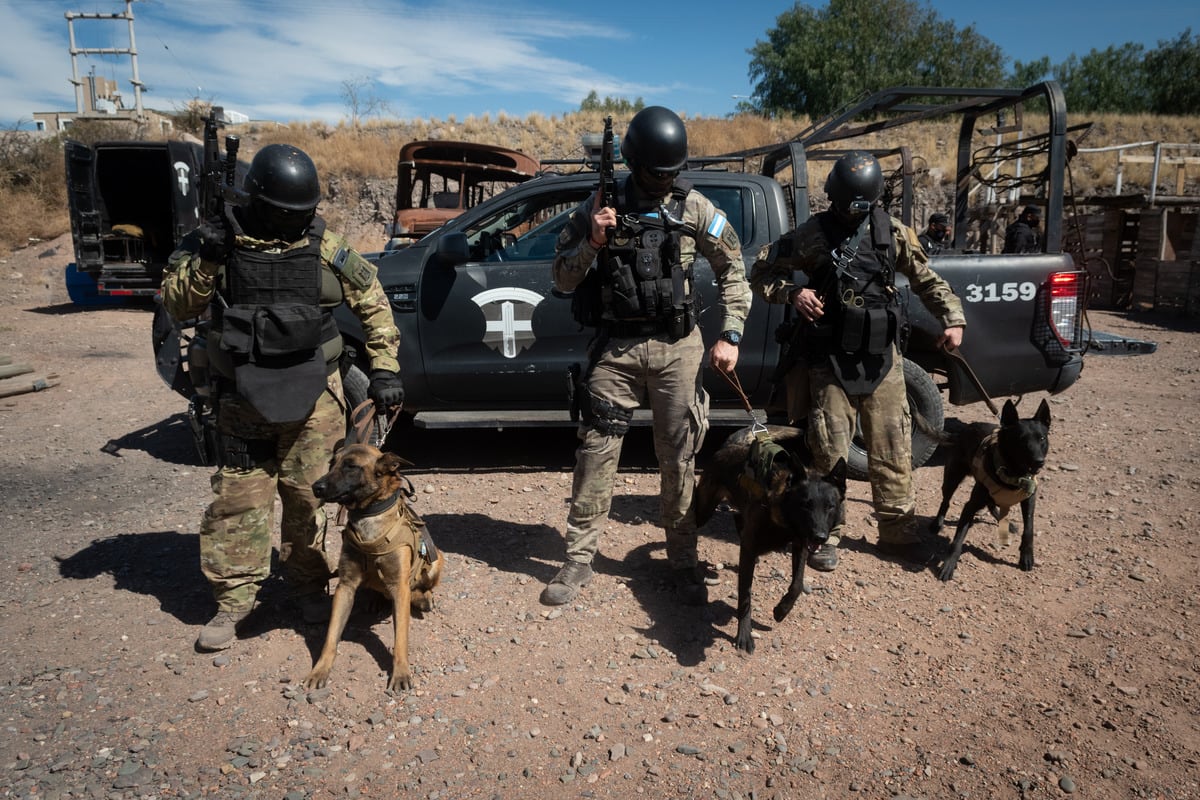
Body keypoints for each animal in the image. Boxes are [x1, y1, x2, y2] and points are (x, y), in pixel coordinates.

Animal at [304, 443, 446, 695]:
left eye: (351, 466)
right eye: (332, 463)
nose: (316, 487)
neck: (368, 515)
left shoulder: (400, 587)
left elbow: (400, 639)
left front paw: (400, 673)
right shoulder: (345, 587)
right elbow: (331, 636)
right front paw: (320, 670)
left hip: (437, 559)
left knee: (422, 586)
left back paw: (423, 598)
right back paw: (376, 599)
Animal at [696, 429, 844, 652]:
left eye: (830, 506)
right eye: (806, 505)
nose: (820, 537)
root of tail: (730, 446)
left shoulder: (800, 544)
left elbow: (797, 585)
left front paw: (781, 610)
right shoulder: (750, 548)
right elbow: (745, 596)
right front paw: (744, 634)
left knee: (738, 518)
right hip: (704, 510)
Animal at [926, 400, 1051, 582]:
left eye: (1042, 438)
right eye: (1021, 440)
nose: (1038, 461)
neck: (1013, 474)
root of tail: (963, 431)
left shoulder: (1029, 499)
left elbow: (1029, 529)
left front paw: (1026, 557)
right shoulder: (969, 506)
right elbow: (957, 540)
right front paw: (949, 564)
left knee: (991, 504)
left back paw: (1005, 522)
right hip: (952, 477)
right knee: (946, 501)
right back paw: (937, 523)